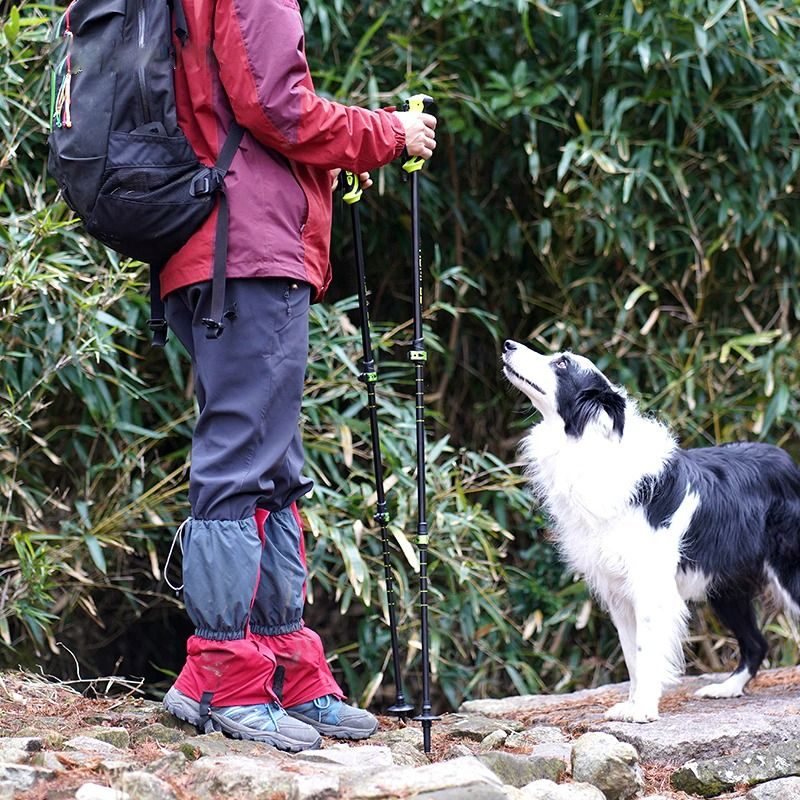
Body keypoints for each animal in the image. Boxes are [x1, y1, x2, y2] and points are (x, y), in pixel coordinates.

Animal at [504, 340, 796, 720]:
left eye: (563, 363)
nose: (508, 344)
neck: (591, 450)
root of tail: (788, 461)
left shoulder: (650, 586)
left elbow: (645, 651)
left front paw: (643, 709)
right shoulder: (618, 591)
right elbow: (631, 655)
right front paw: (632, 704)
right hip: (725, 586)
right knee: (756, 643)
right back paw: (726, 688)